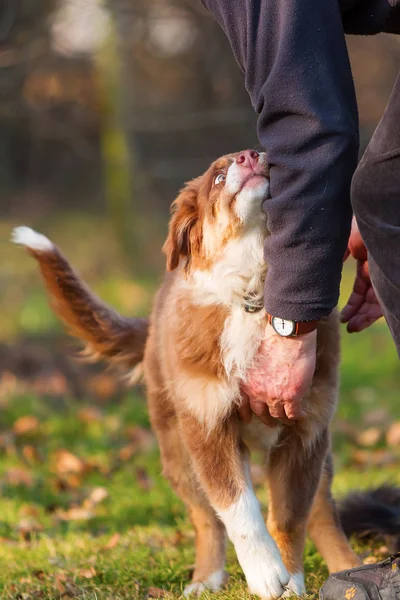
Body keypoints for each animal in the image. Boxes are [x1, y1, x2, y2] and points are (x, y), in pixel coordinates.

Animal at [12, 149, 374, 596]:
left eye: (264, 156)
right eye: (217, 177)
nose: (251, 155)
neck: (252, 293)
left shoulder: (306, 429)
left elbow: (290, 516)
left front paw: (291, 581)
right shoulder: (207, 425)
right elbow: (238, 508)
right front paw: (267, 574)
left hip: (317, 448)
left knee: (322, 510)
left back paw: (349, 569)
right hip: (175, 445)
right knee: (205, 519)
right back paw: (206, 578)